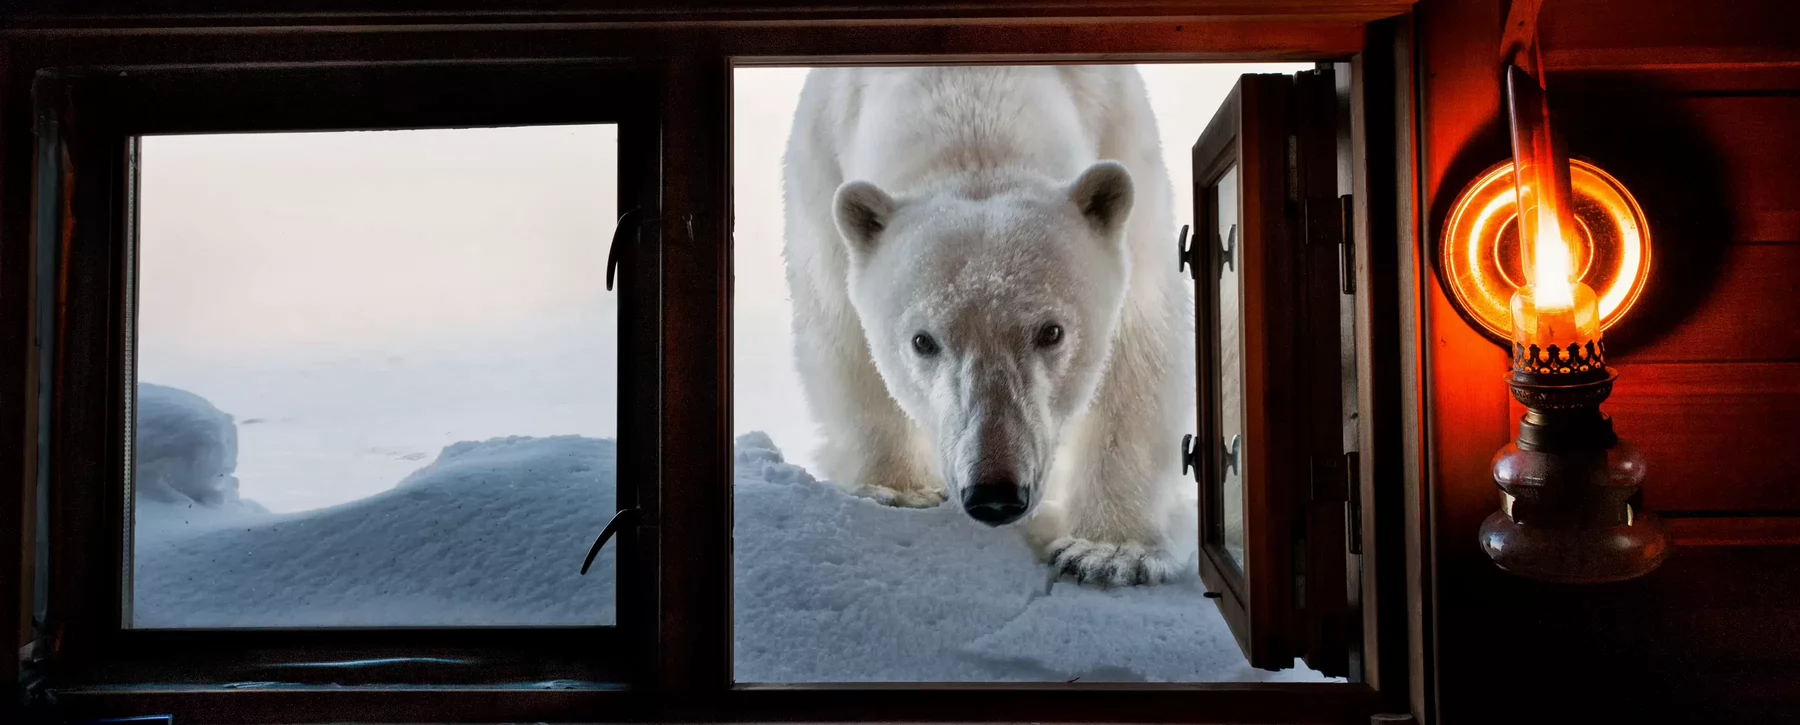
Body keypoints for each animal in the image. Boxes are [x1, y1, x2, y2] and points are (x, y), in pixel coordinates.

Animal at [782, 66, 1194, 586]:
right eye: (923, 341)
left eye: (1051, 331)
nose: (995, 493)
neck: (968, 86)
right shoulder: (821, 169)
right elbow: (842, 334)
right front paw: (897, 488)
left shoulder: (1123, 139)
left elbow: (1138, 346)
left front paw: (1108, 552)